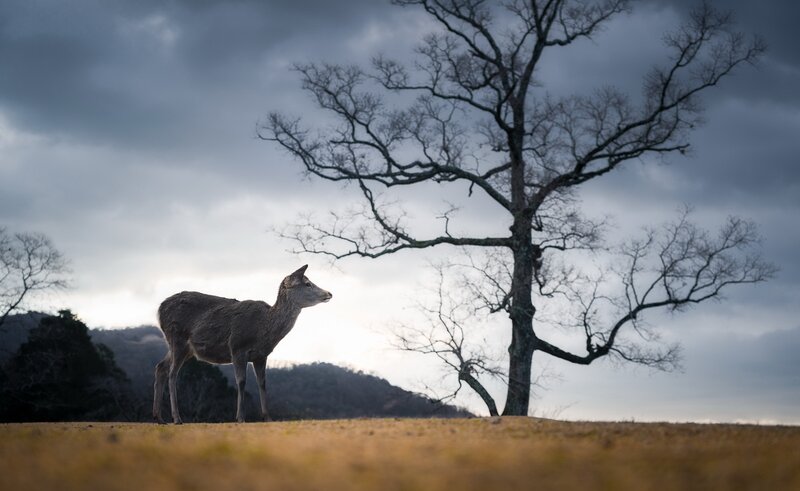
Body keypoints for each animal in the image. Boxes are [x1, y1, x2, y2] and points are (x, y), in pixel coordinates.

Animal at [152, 265, 332, 424]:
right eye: (307, 283)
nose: (329, 293)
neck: (264, 330)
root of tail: (159, 309)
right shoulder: (237, 347)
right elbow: (241, 381)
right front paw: (240, 417)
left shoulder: (261, 356)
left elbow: (262, 383)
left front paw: (267, 417)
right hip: (177, 338)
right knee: (172, 373)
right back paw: (177, 418)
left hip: (183, 348)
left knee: (161, 367)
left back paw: (159, 418)